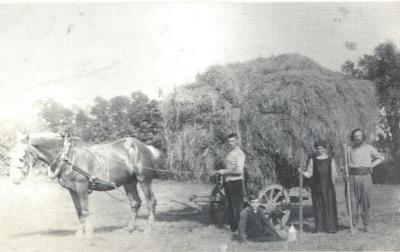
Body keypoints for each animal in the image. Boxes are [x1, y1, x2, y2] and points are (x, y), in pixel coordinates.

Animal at [8, 132, 159, 236]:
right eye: (10, 156)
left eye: (22, 157)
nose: (14, 180)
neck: (68, 157)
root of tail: (145, 147)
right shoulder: (72, 190)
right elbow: (79, 210)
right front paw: (80, 233)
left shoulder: (82, 187)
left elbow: (85, 210)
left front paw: (88, 235)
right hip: (129, 182)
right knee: (135, 202)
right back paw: (129, 229)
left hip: (144, 180)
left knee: (150, 202)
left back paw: (149, 230)